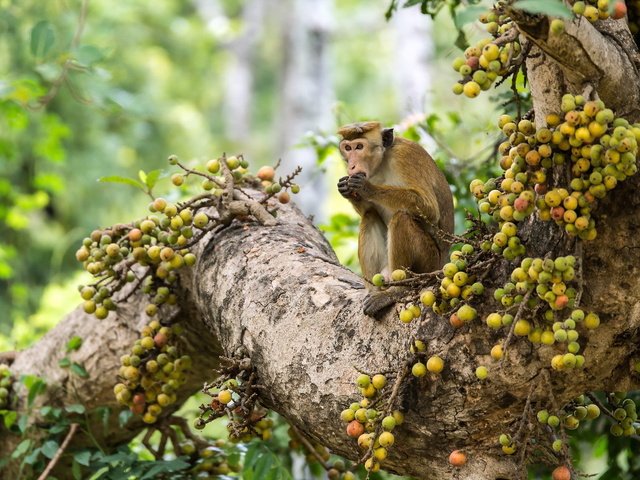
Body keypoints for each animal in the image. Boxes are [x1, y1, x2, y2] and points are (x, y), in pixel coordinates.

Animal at [336, 121, 456, 316]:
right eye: (348, 148)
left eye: (359, 147)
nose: (352, 166)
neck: (383, 161)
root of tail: (441, 265)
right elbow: (368, 210)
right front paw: (346, 189)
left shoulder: (405, 158)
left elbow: (430, 208)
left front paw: (366, 188)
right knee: (370, 217)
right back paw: (374, 291)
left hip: (428, 262)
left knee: (401, 219)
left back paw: (396, 291)